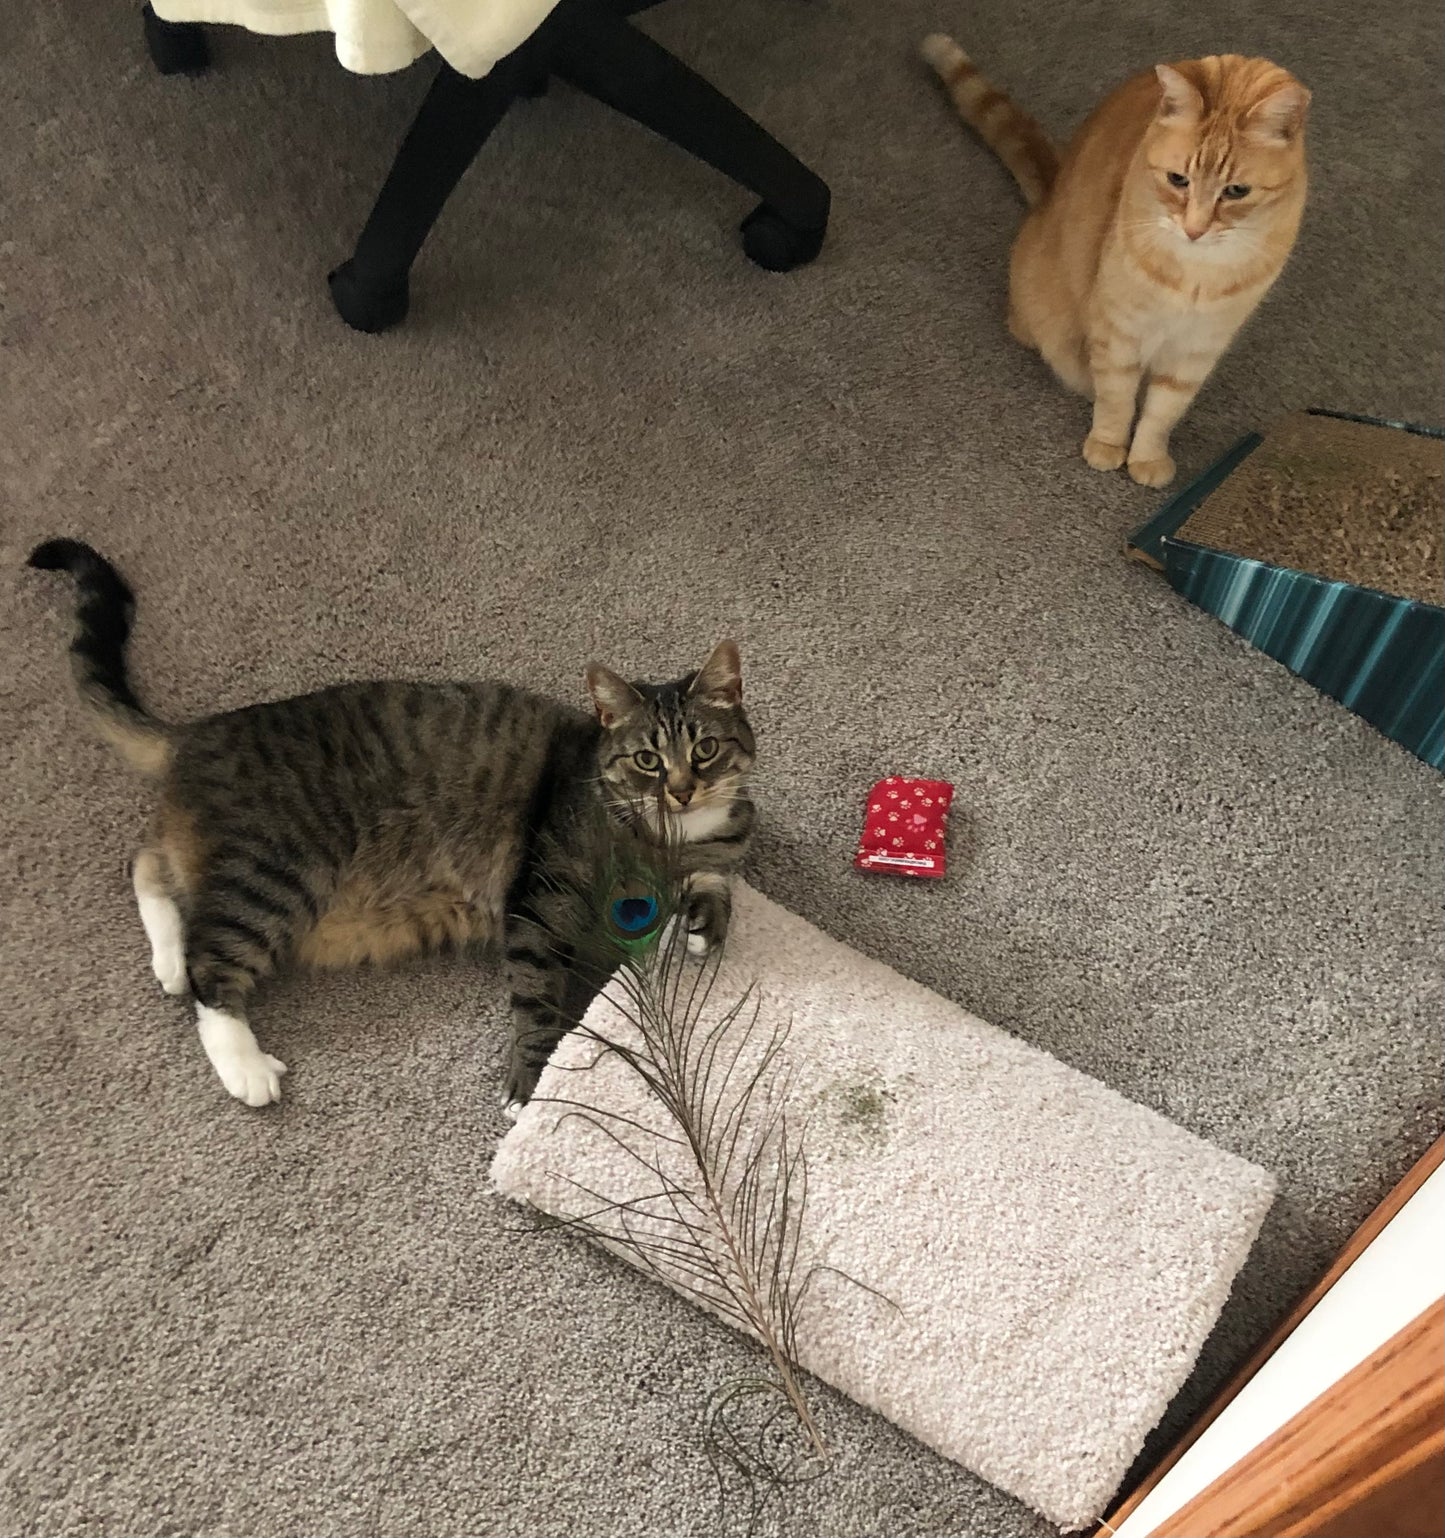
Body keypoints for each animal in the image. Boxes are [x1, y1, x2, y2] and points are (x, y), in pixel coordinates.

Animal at [28, 544, 756, 1119]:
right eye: (647, 760)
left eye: (705, 750)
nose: (681, 789)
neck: (668, 834)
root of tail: (200, 732)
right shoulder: (542, 898)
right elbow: (537, 994)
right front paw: (531, 1082)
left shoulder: (716, 852)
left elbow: (717, 884)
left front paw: (701, 924)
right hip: (278, 873)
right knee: (210, 963)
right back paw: (244, 1061)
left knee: (148, 864)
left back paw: (168, 962)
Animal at [928, 39, 1309, 482]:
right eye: (1178, 180)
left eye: (1236, 191)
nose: (1194, 229)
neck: (1196, 274)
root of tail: (1050, 193)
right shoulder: (1118, 333)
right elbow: (1117, 399)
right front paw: (1109, 444)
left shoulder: (1195, 351)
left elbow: (1163, 411)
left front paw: (1147, 457)